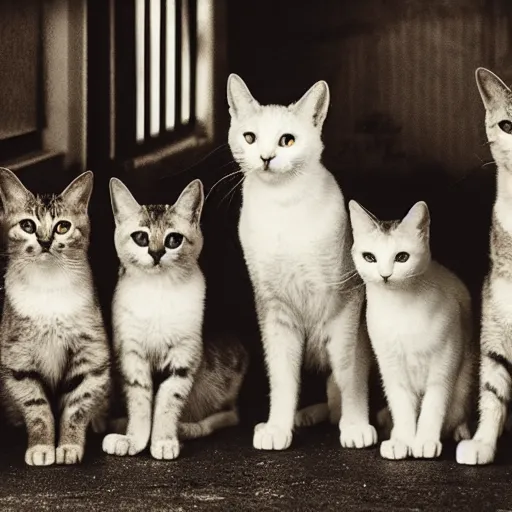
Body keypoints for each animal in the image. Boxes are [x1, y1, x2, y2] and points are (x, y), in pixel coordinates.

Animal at [0, 170, 111, 466]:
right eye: (27, 225)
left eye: (62, 227)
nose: (45, 241)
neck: (49, 285)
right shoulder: (18, 358)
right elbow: (37, 409)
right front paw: (41, 446)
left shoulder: (90, 354)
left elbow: (77, 406)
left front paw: (69, 445)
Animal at [102, 177, 248, 460]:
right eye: (140, 237)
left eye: (173, 240)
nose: (156, 253)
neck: (159, 291)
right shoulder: (131, 353)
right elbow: (140, 400)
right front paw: (134, 439)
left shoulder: (184, 354)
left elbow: (168, 400)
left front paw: (163, 439)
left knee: (231, 415)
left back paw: (189, 428)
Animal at [228, 74, 376, 450]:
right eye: (249, 137)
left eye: (287, 140)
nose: (266, 157)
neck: (283, 206)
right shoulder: (272, 307)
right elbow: (282, 375)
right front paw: (277, 427)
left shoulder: (347, 300)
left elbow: (349, 370)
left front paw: (356, 425)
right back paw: (309, 414)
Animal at [350, 200, 474, 460]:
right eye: (369, 257)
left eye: (402, 257)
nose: (385, 275)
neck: (400, 308)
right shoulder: (391, 367)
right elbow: (401, 407)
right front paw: (402, 441)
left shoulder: (444, 362)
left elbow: (434, 406)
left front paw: (425, 440)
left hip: (464, 380)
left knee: (458, 409)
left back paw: (460, 431)